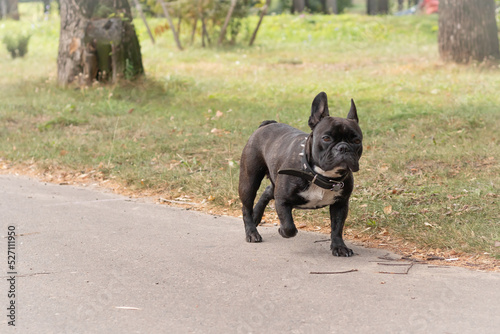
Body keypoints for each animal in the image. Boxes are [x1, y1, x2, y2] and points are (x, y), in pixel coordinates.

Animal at [239, 92, 364, 258]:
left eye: (356, 141)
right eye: (326, 138)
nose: (343, 147)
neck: (321, 176)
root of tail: (267, 124)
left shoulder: (341, 204)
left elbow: (337, 227)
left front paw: (339, 247)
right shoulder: (282, 200)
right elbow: (289, 227)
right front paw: (282, 230)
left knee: (267, 191)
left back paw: (256, 216)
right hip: (249, 180)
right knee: (246, 206)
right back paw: (252, 232)